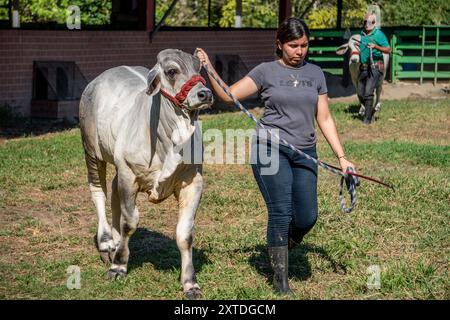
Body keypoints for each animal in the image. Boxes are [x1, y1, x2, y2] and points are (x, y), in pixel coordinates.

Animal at [78, 48, 214, 298]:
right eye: (171, 71)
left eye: (199, 67)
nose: (205, 94)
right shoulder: (128, 176)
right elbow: (130, 222)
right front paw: (119, 266)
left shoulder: (194, 181)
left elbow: (185, 234)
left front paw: (190, 283)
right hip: (91, 150)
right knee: (99, 192)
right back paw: (106, 243)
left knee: (113, 194)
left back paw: (114, 241)